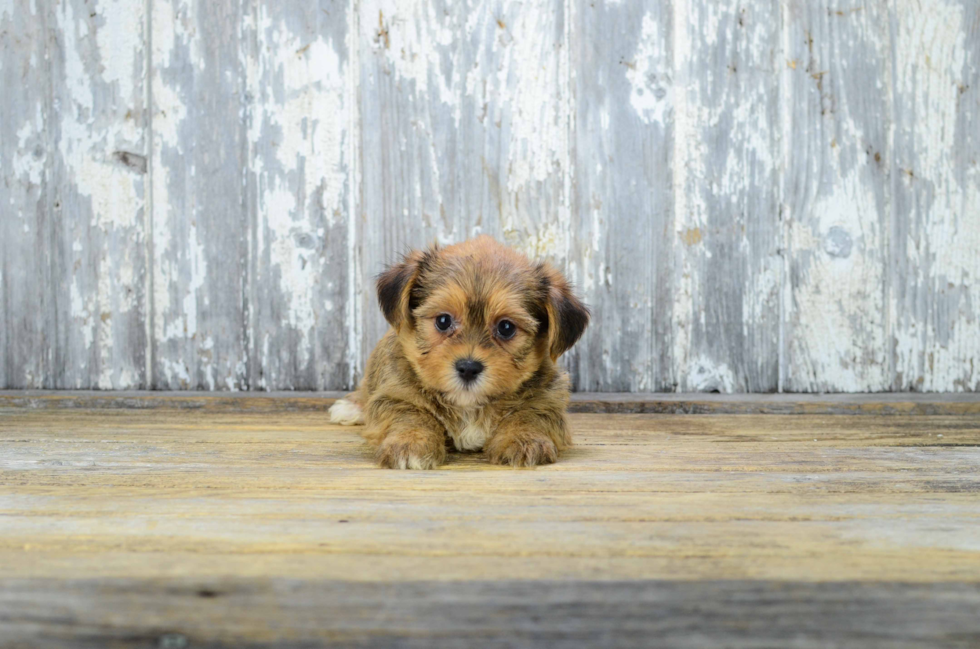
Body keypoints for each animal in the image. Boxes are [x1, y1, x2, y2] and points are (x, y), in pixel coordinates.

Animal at [330, 235, 588, 468]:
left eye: (506, 327)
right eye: (443, 321)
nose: (468, 368)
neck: (468, 405)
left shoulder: (547, 398)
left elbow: (529, 415)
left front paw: (523, 439)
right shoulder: (395, 394)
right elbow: (411, 415)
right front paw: (410, 442)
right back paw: (352, 407)